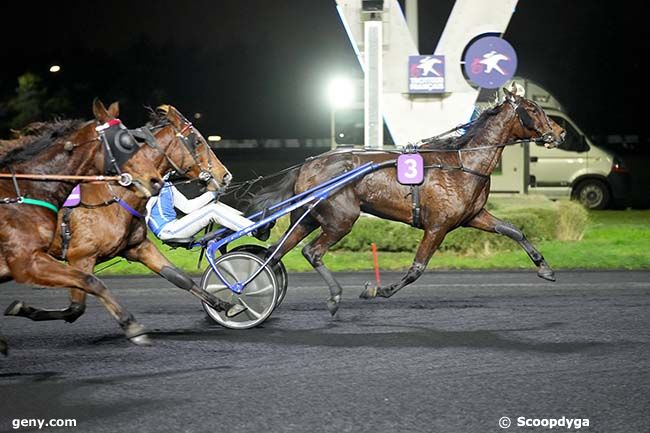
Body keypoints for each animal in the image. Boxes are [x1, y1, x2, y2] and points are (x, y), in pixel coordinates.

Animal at [4, 105, 240, 324]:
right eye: (198, 141)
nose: (226, 176)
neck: (112, 195)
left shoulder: (137, 246)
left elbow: (180, 278)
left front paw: (226, 304)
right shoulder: (80, 257)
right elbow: (75, 307)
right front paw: (22, 309)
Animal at [247, 90, 560, 314]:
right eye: (532, 109)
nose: (560, 132)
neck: (462, 164)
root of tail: (307, 165)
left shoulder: (474, 216)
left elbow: (513, 230)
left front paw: (545, 268)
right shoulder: (437, 226)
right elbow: (416, 269)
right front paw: (377, 290)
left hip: (309, 218)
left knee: (275, 252)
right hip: (340, 219)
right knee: (310, 252)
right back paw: (332, 297)